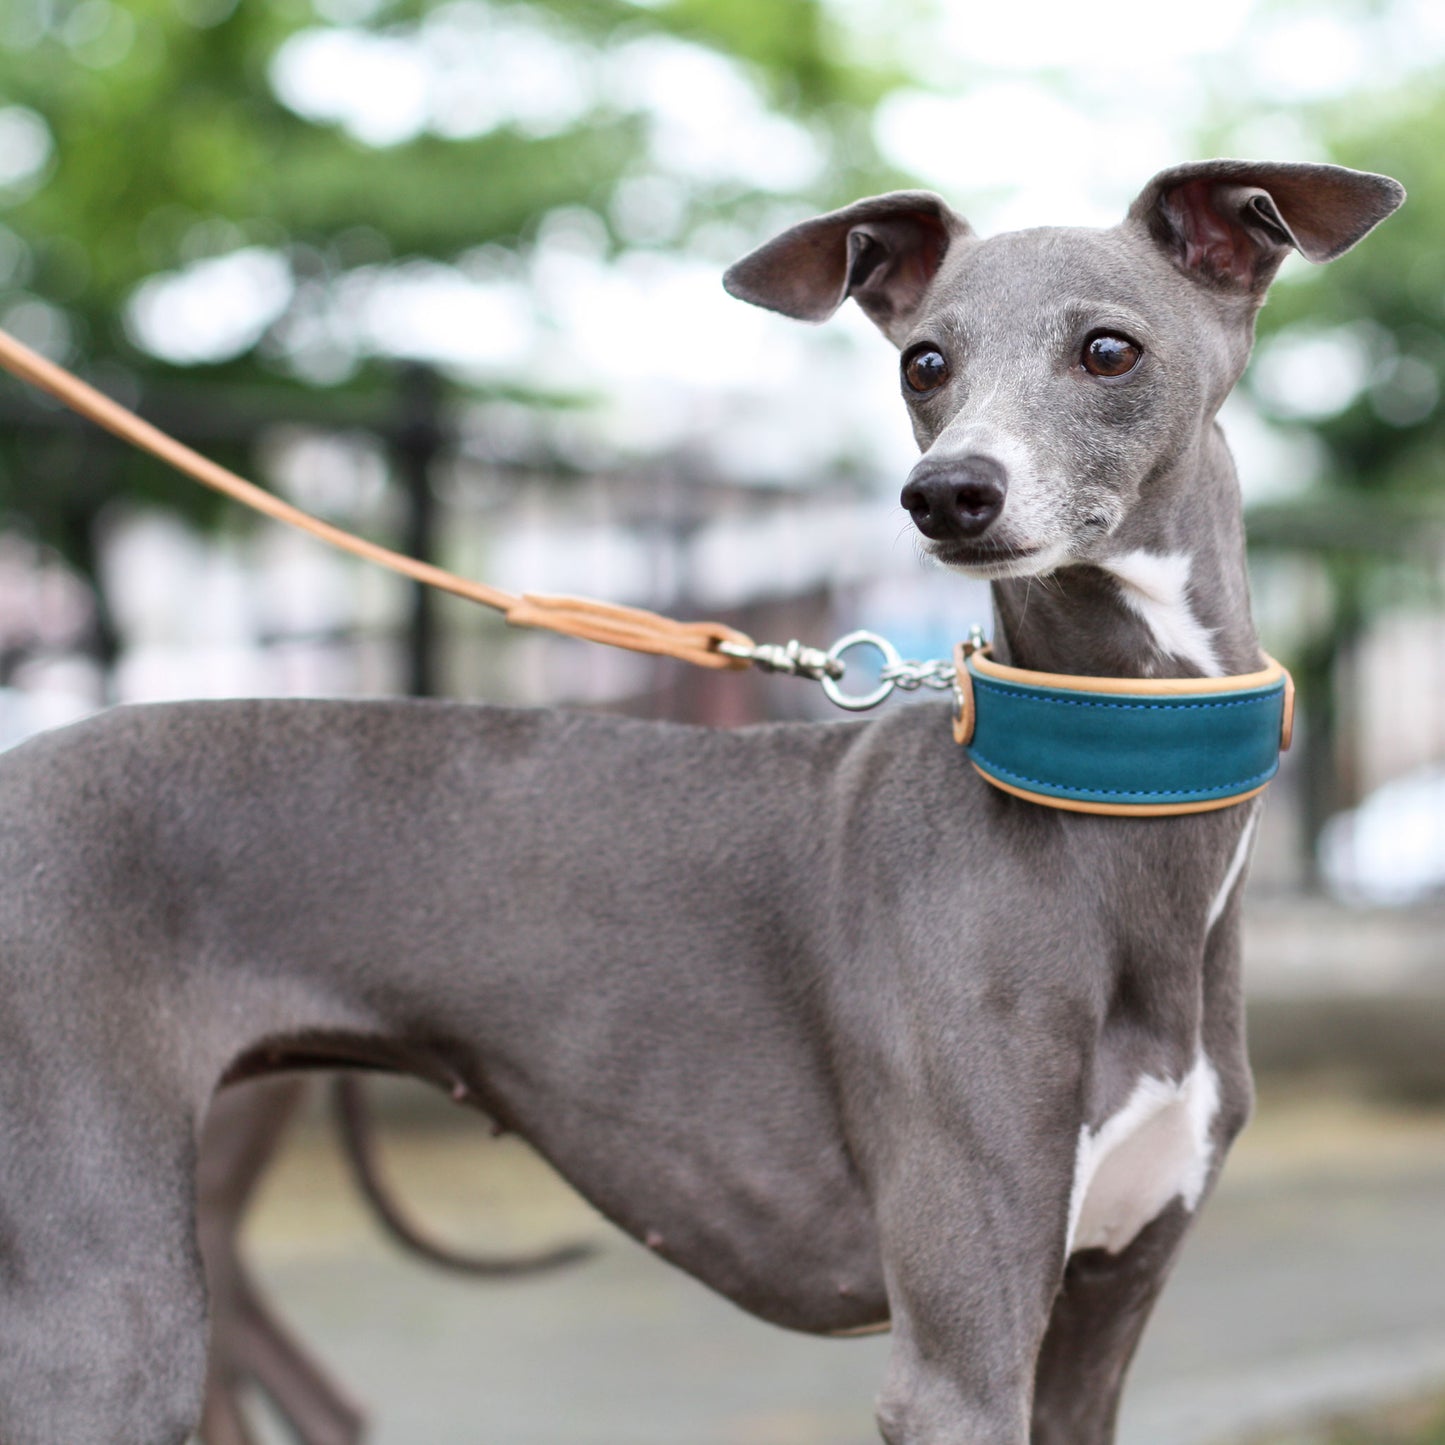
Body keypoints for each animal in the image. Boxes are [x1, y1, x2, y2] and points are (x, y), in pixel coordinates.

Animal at [0, 158, 1398, 1445]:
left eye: (1109, 348)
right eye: (924, 363)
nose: (948, 493)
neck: (1101, 814)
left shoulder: (1095, 1321)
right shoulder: (959, 1360)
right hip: (107, 1304)